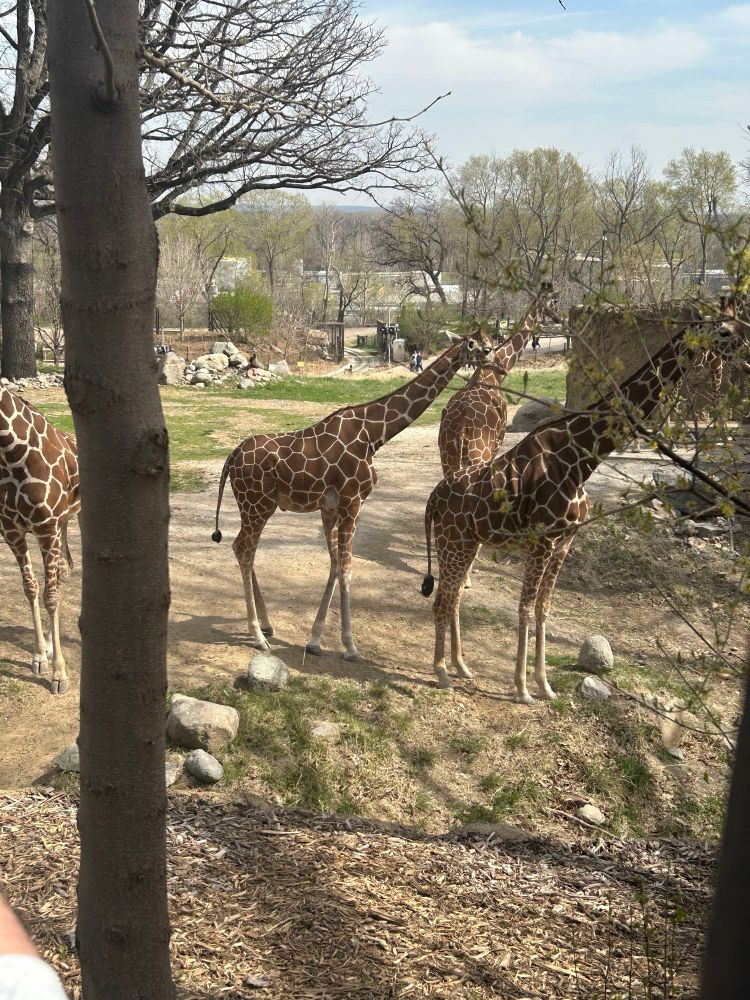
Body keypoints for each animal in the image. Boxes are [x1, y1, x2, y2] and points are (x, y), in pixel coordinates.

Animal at [0, 389, 79, 694]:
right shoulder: (11, 530)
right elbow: (32, 588)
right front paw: (39, 655)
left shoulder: (46, 527)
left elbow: (50, 596)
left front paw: (59, 674)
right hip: (63, 523)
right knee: (65, 569)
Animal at [213, 330, 493, 659]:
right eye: (476, 346)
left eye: (489, 342)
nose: (492, 358)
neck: (374, 435)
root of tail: (231, 457)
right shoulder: (352, 500)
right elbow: (346, 568)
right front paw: (350, 645)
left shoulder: (332, 507)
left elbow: (335, 564)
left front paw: (315, 639)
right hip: (257, 504)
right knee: (244, 549)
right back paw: (258, 636)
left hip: (254, 506)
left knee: (241, 548)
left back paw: (267, 625)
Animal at [437, 283, 558, 586]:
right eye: (554, 302)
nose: (559, 318)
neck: (495, 374)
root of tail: (461, 430)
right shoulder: (497, 446)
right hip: (476, 456)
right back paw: (466, 576)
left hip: (448, 458)